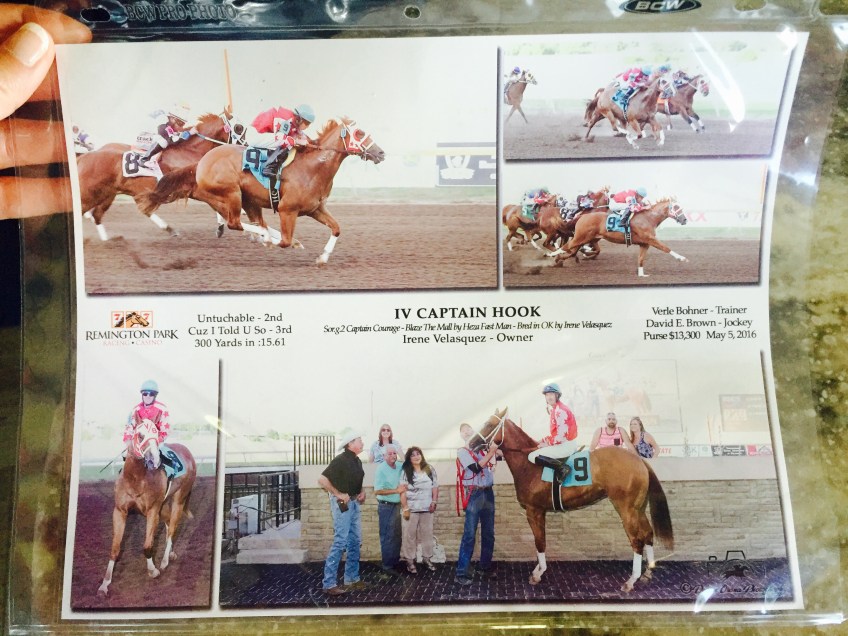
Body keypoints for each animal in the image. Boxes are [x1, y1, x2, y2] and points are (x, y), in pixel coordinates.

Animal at [77, 109, 246, 241]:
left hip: (109, 194)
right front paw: (223, 225)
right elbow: (218, 204)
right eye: (239, 128)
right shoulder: (194, 189)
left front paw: (222, 227)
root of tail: (83, 157)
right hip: (91, 193)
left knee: (100, 214)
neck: (190, 151)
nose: (243, 147)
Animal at [97, 417, 196, 596]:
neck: (136, 479)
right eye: (140, 435)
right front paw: (105, 584)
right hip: (164, 505)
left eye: (156, 436)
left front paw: (153, 570)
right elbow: (115, 548)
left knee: (172, 527)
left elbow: (147, 545)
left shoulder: (152, 512)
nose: (154, 460)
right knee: (168, 524)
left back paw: (164, 561)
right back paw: (171, 553)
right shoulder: (120, 511)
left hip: (178, 499)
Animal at [137, 117, 385, 264]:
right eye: (360, 133)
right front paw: (275, 241)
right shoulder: (287, 210)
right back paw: (261, 235)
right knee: (235, 223)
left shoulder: (315, 208)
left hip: (249, 200)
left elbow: (336, 228)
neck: (314, 167)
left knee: (250, 222)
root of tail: (201, 162)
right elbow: (285, 241)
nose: (381, 153)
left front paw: (323, 258)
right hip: (231, 194)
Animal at [476, 409, 673, 592]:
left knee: (637, 540)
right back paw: (647, 572)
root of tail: (639, 460)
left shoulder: (534, 510)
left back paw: (631, 580)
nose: (471, 443)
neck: (529, 465)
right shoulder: (539, 511)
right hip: (638, 508)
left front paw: (539, 573)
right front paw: (538, 570)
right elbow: (541, 540)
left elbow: (539, 541)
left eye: (488, 424)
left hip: (626, 509)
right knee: (648, 533)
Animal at [553, 198, 688, 277]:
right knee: (566, 246)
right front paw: (682, 258)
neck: (648, 218)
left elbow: (641, 259)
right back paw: (553, 255)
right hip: (581, 237)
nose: (684, 220)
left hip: (587, 238)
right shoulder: (650, 239)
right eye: (676, 207)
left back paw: (560, 259)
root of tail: (582, 216)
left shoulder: (645, 243)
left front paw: (641, 274)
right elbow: (665, 248)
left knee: (572, 250)